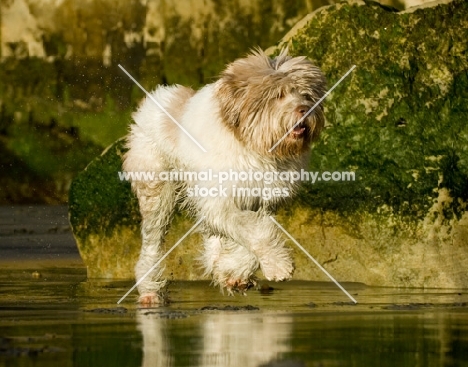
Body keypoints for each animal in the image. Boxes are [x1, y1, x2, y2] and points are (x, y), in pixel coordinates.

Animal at [123, 49, 326, 308]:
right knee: (153, 242)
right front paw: (279, 266)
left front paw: (235, 273)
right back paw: (150, 291)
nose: (305, 109)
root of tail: (157, 96)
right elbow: (255, 232)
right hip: (157, 193)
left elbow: (254, 233)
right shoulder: (220, 201)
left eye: (307, 95)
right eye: (278, 95)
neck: (254, 146)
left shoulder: (263, 201)